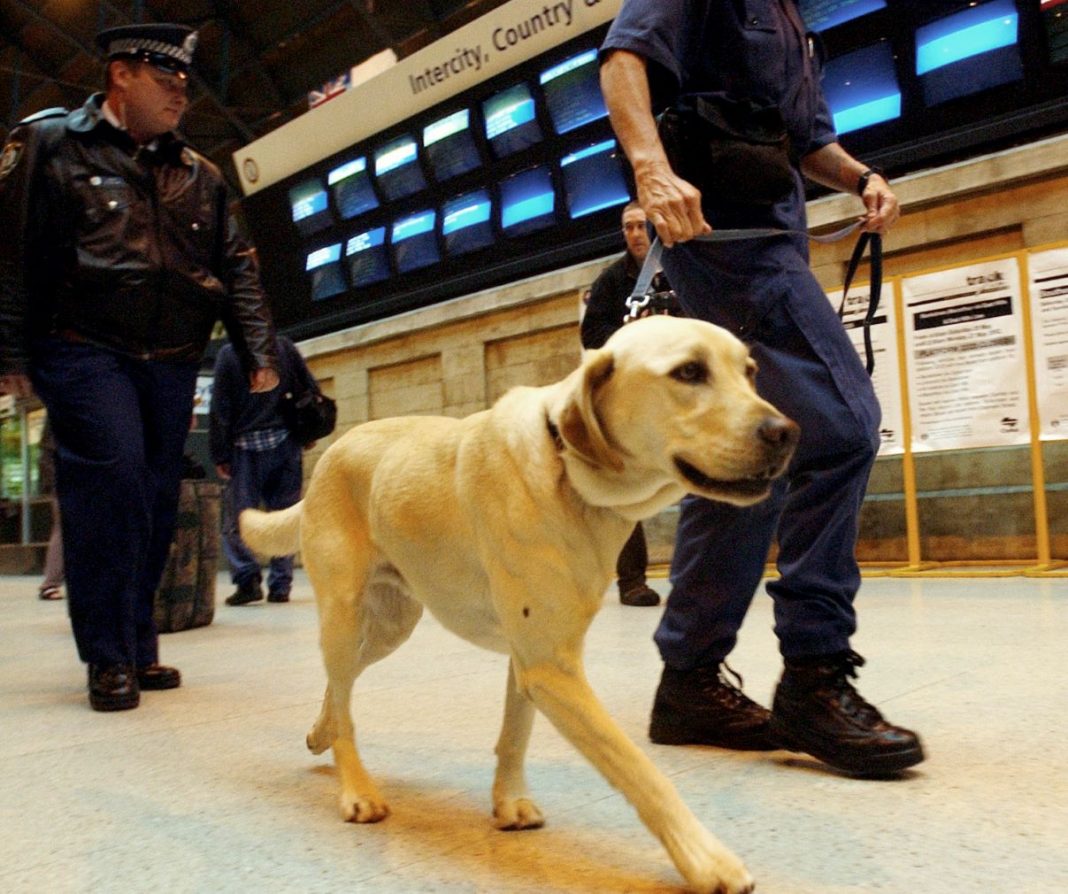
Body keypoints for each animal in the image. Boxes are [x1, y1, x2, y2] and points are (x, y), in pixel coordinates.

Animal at [240, 318, 794, 888]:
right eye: (688, 372)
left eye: (750, 372)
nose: (786, 432)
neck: (568, 469)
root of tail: (333, 452)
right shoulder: (551, 667)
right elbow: (640, 771)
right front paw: (705, 858)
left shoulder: (531, 659)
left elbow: (515, 732)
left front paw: (508, 801)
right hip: (345, 614)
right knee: (346, 702)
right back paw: (356, 788)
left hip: (391, 625)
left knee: (340, 684)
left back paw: (321, 732)